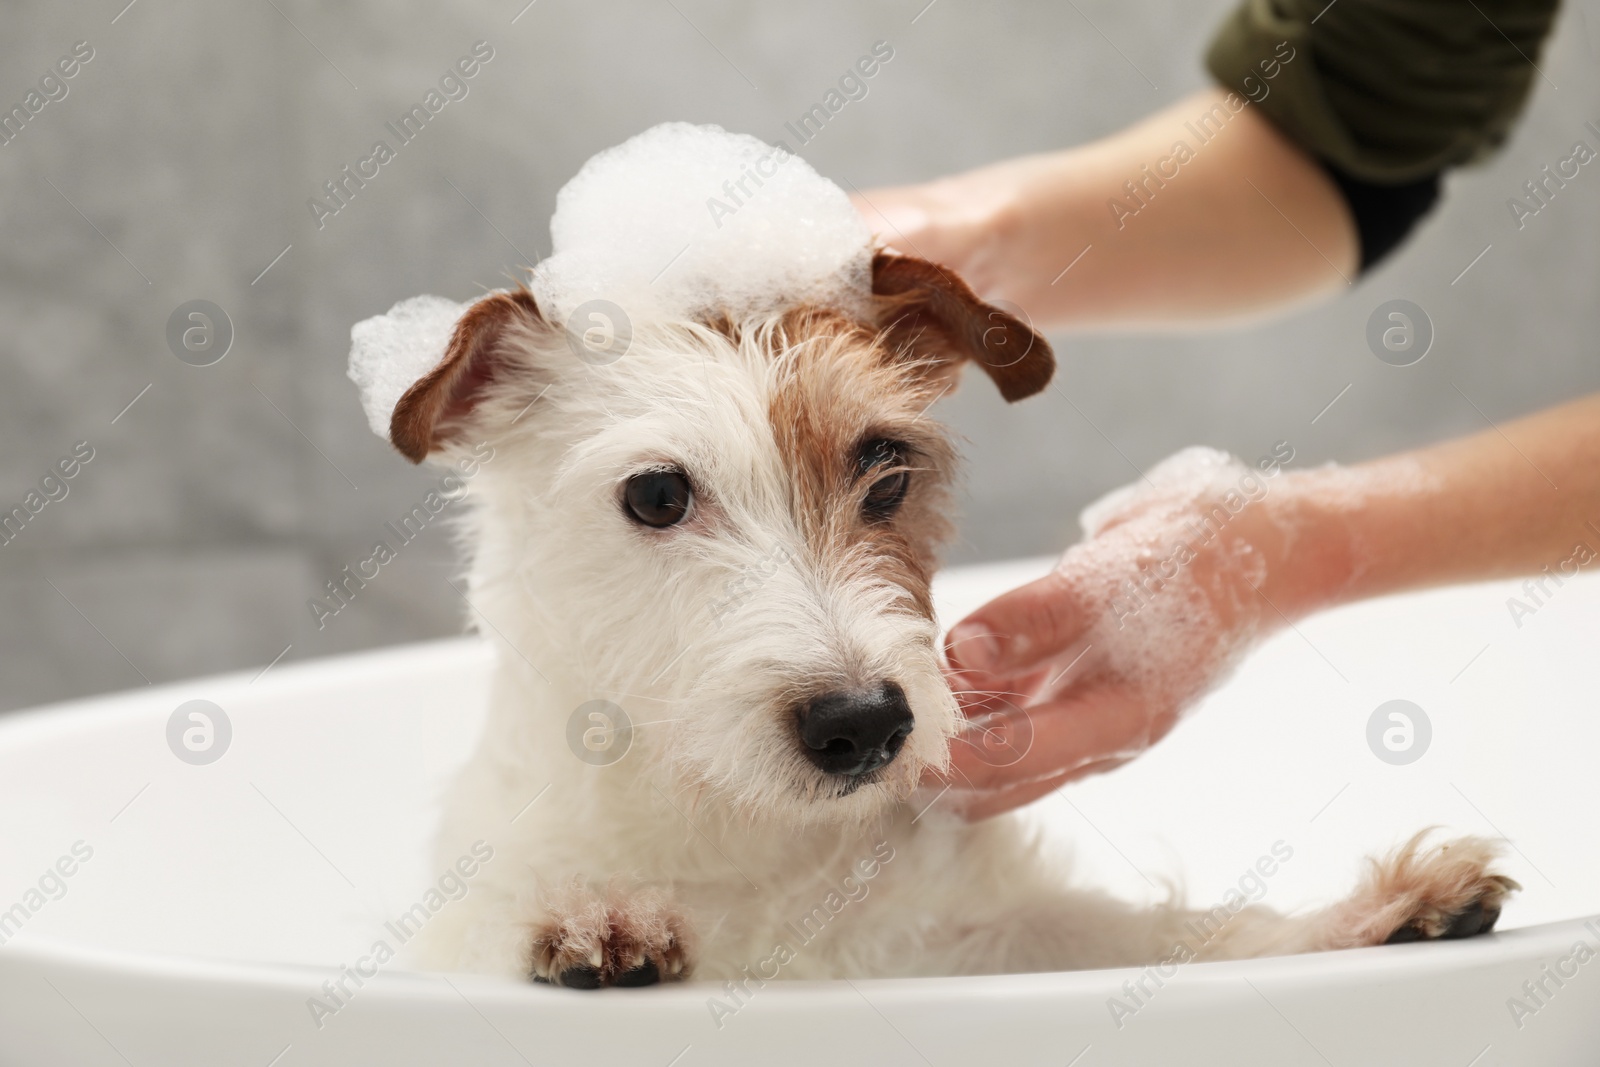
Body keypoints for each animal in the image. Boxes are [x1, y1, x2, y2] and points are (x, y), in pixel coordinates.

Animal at [356, 123, 1516, 991]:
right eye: (656, 495)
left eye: (886, 472)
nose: (863, 723)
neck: (752, 837)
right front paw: (597, 922)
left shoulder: (982, 933)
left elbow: (1180, 936)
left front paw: (1360, 917)